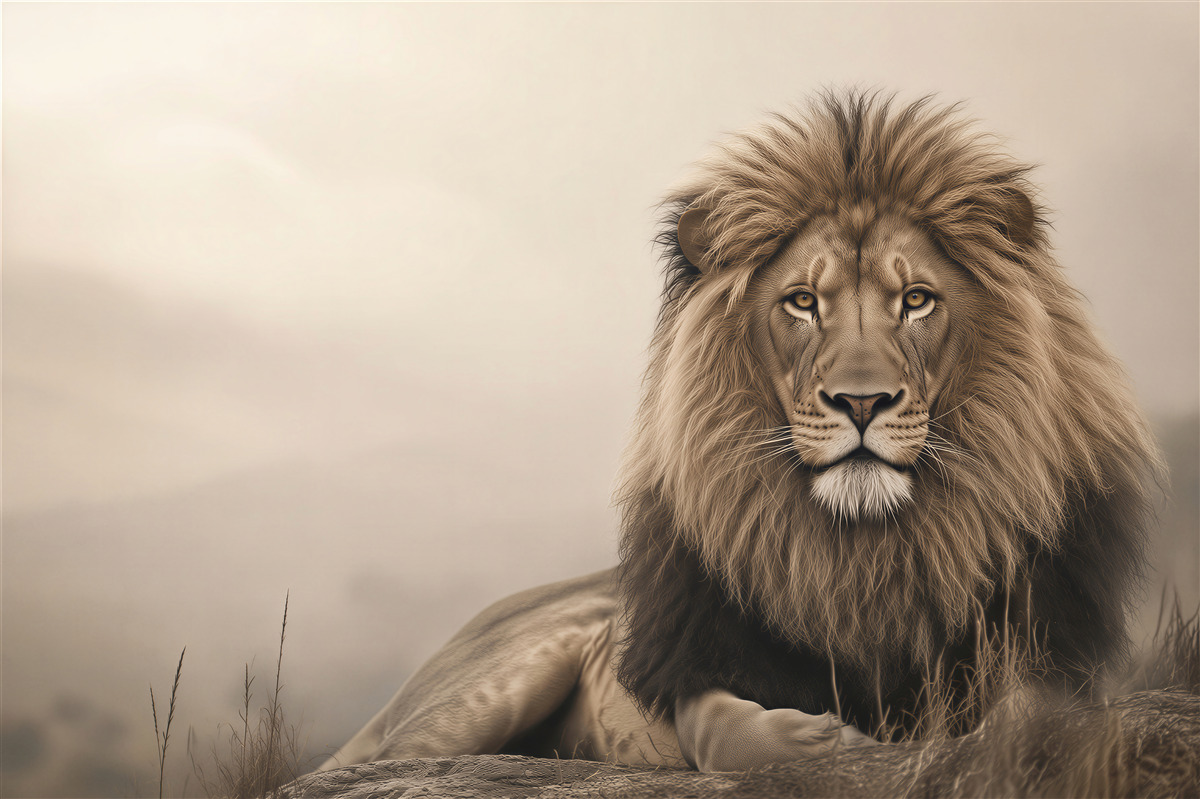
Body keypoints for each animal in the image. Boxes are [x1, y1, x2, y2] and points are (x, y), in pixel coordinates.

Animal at [318, 93, 1160, 774]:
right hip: (484, 692)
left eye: (917, 299)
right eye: (802, 302)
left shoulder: (1049, 641)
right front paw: (819, 740)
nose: (862, 401)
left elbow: (1034, 711)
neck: (864, 552)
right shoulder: (692, 653)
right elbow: (721, 724)